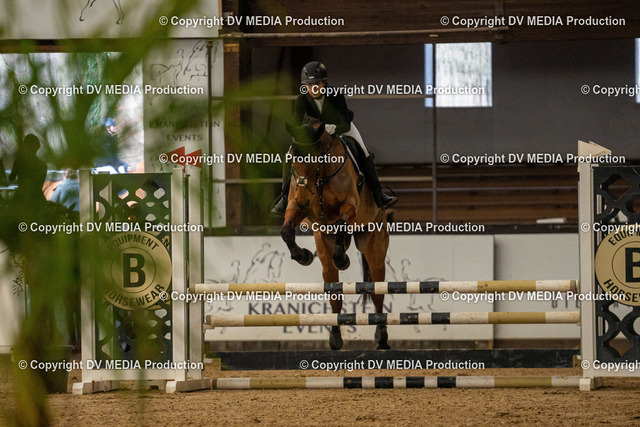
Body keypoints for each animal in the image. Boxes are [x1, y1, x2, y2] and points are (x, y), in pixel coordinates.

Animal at [280, 117, 390, 350]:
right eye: (292, 157)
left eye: (314, 157)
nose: (304, 198)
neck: (321, 176)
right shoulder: (295, 206)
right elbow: (286, 230)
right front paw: (302, 256)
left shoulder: (350, 205)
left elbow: (340, 224)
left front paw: (342, 259)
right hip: (324, 250)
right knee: (334, 294)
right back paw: (335, 337)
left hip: (374, 245)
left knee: (377, 294)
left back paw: (382, 337)